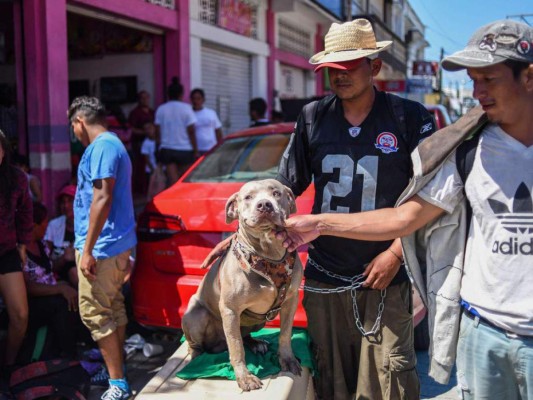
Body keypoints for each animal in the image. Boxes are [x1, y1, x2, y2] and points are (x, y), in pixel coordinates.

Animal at [181, 180, 302, 392]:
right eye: (248, 197)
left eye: (276, 193)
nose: (264, 205)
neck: (268, 254)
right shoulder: (230, 310)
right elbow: (236, 347)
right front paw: (245, 377)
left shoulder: (291, 300)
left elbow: (285, 334)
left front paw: (287, 359)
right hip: (196, 315)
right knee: (197, 344)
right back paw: (197, 358)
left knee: (243, 336)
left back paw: (255, 342)